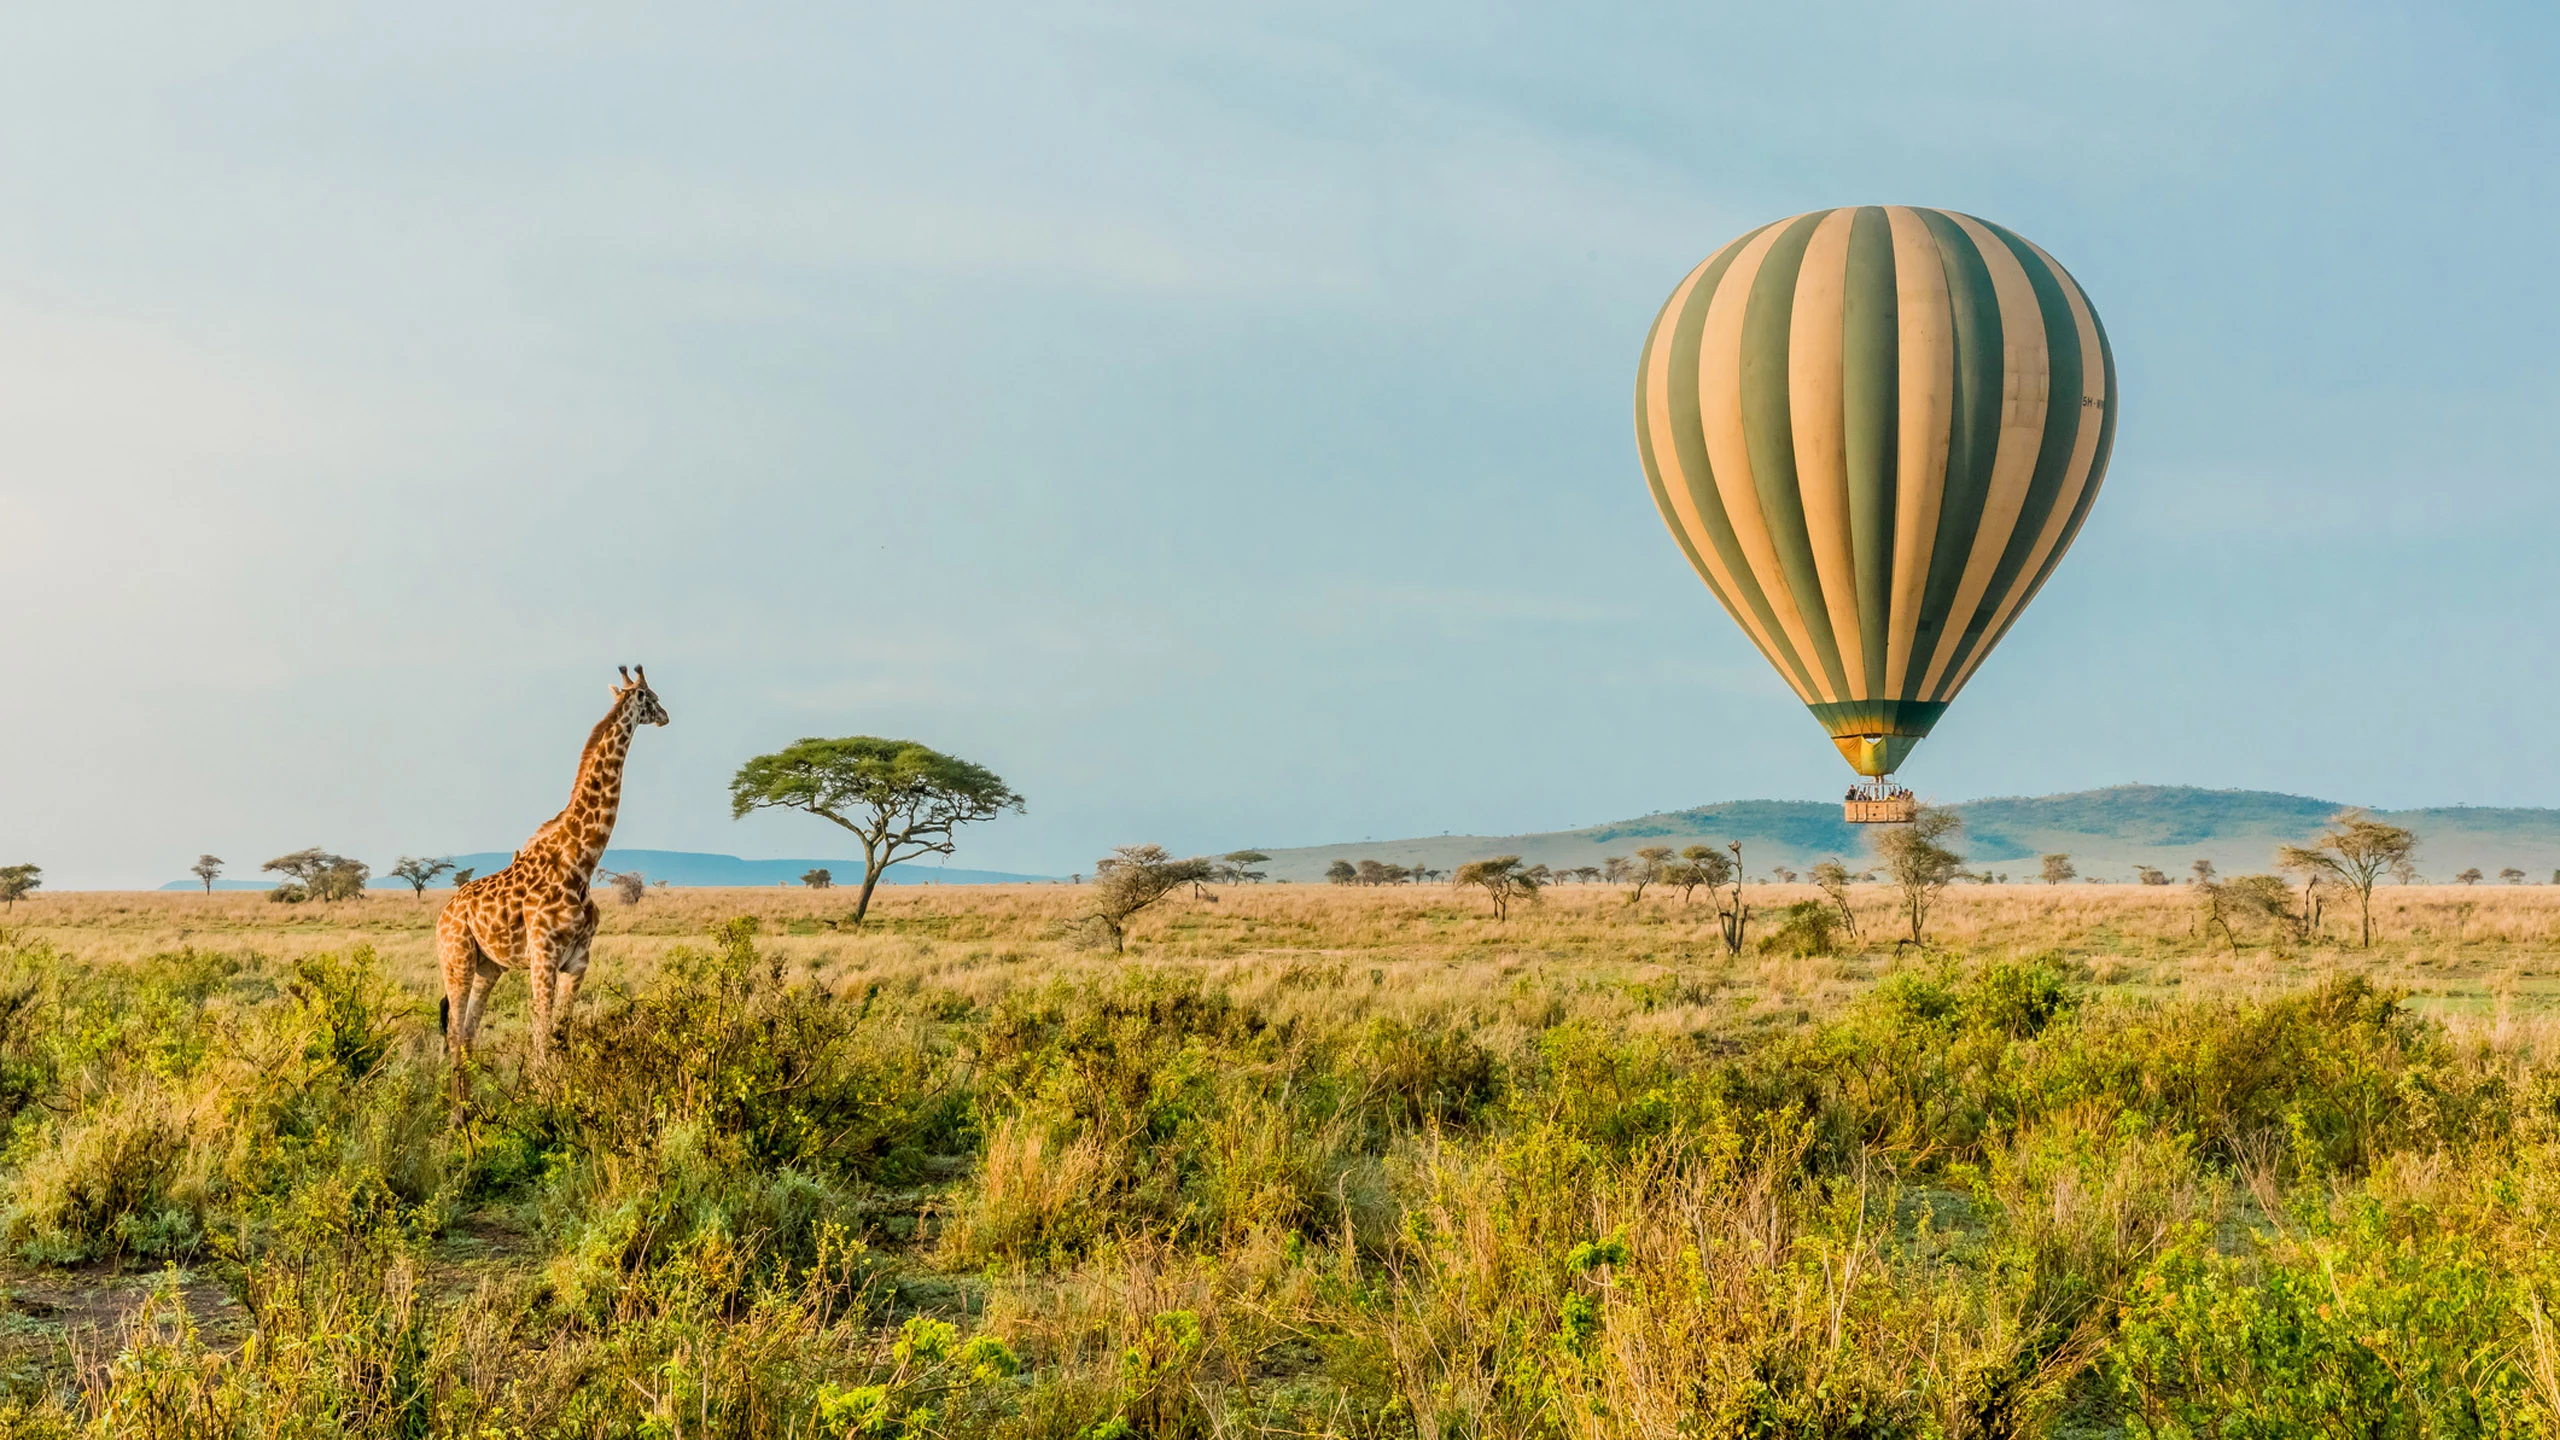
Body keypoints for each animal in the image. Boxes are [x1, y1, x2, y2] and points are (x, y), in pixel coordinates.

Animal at [438, 665, 669, 1072]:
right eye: (653, 697)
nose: (666, 716)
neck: (581, 862)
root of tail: (442, 917)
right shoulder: (543, 957)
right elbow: (542, 1036)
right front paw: (539, 1086)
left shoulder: (578, 961)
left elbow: (561, 1035)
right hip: (457, 960)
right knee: (453, 1035)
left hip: (488, 967)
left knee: (467, 1036)